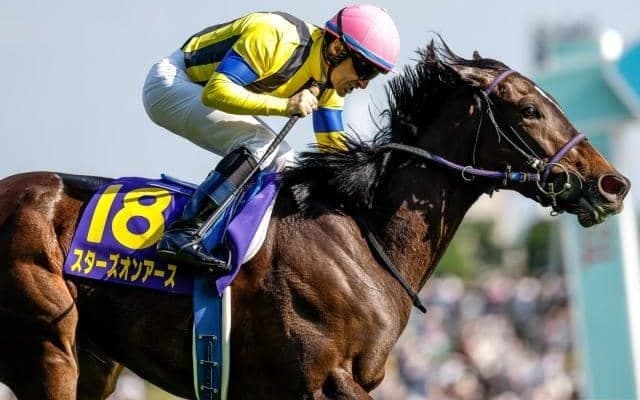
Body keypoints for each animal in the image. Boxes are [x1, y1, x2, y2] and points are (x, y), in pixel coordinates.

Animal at [0, 40, 630, 400]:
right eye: (530, 109)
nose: (613, 184)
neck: (362, 237)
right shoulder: (320, 380)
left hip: (93, 363)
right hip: (47, 347)